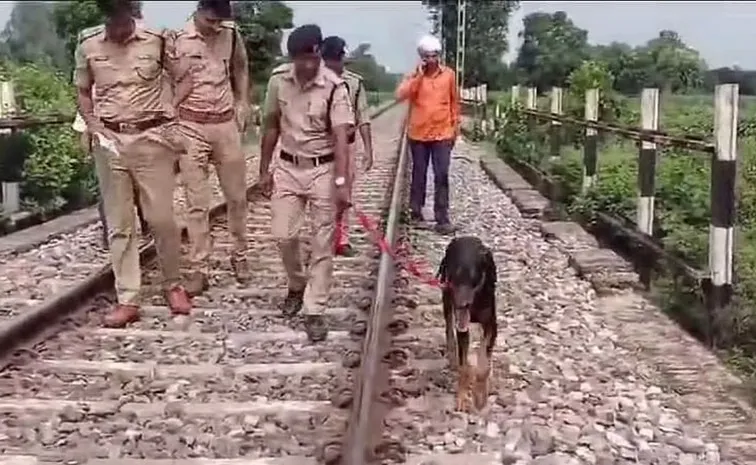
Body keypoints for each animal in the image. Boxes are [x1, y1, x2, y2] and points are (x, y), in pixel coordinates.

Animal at [438, 236, 496, 410]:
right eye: (455, 278)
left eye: (473, 279)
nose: (461, 305)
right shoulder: (462, 328)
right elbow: (463, 366)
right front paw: (462, 397)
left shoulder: (491, 325)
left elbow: (484, 365)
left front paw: (479, 395)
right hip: (446, 297)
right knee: (449, 326)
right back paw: (452, 353)